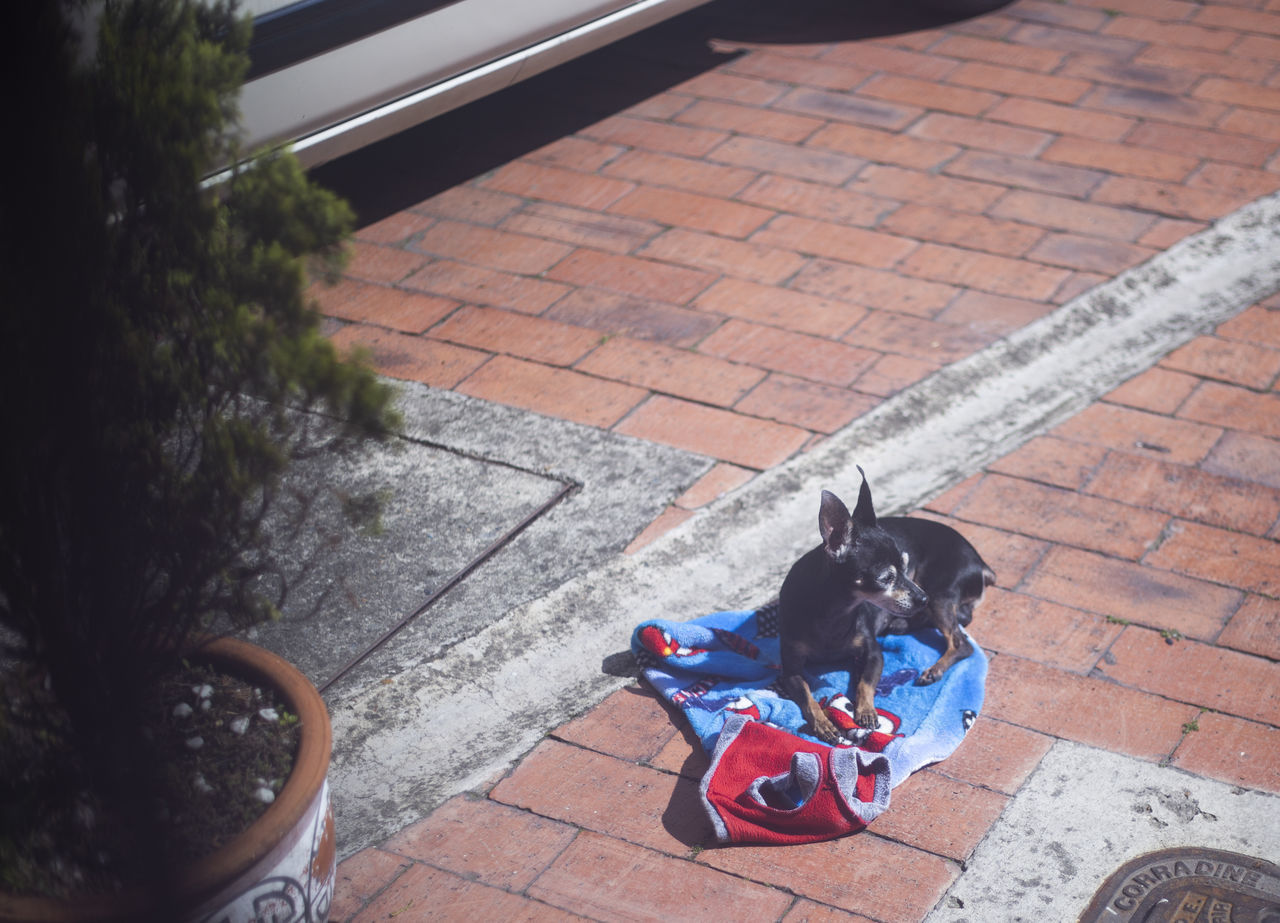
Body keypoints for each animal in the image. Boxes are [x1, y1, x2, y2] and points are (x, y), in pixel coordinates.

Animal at [773, 471, 993, 747]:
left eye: (906, 566)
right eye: (886, 578)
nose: (922, 597)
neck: (834, 614)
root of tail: (980, 561)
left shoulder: (874, 654)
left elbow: (864, 684)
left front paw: (866, 711)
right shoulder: (791, 669)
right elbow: (807, 697)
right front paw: (823, 723)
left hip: (941, 595)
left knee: (961, 642)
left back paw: (934, 669)